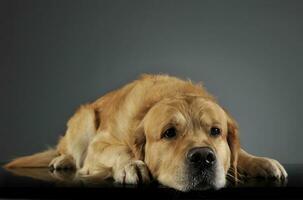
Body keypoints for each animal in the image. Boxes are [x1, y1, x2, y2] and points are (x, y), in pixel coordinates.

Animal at [4, 73, 288, 191]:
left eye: (216, 131)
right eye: (169, 133)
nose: (203, 157)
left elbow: (242, 153)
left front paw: (262, 162)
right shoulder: (99, 146)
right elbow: (120, 150)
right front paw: (132, 165)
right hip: (85, 117)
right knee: (69, 151)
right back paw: (62, 160)